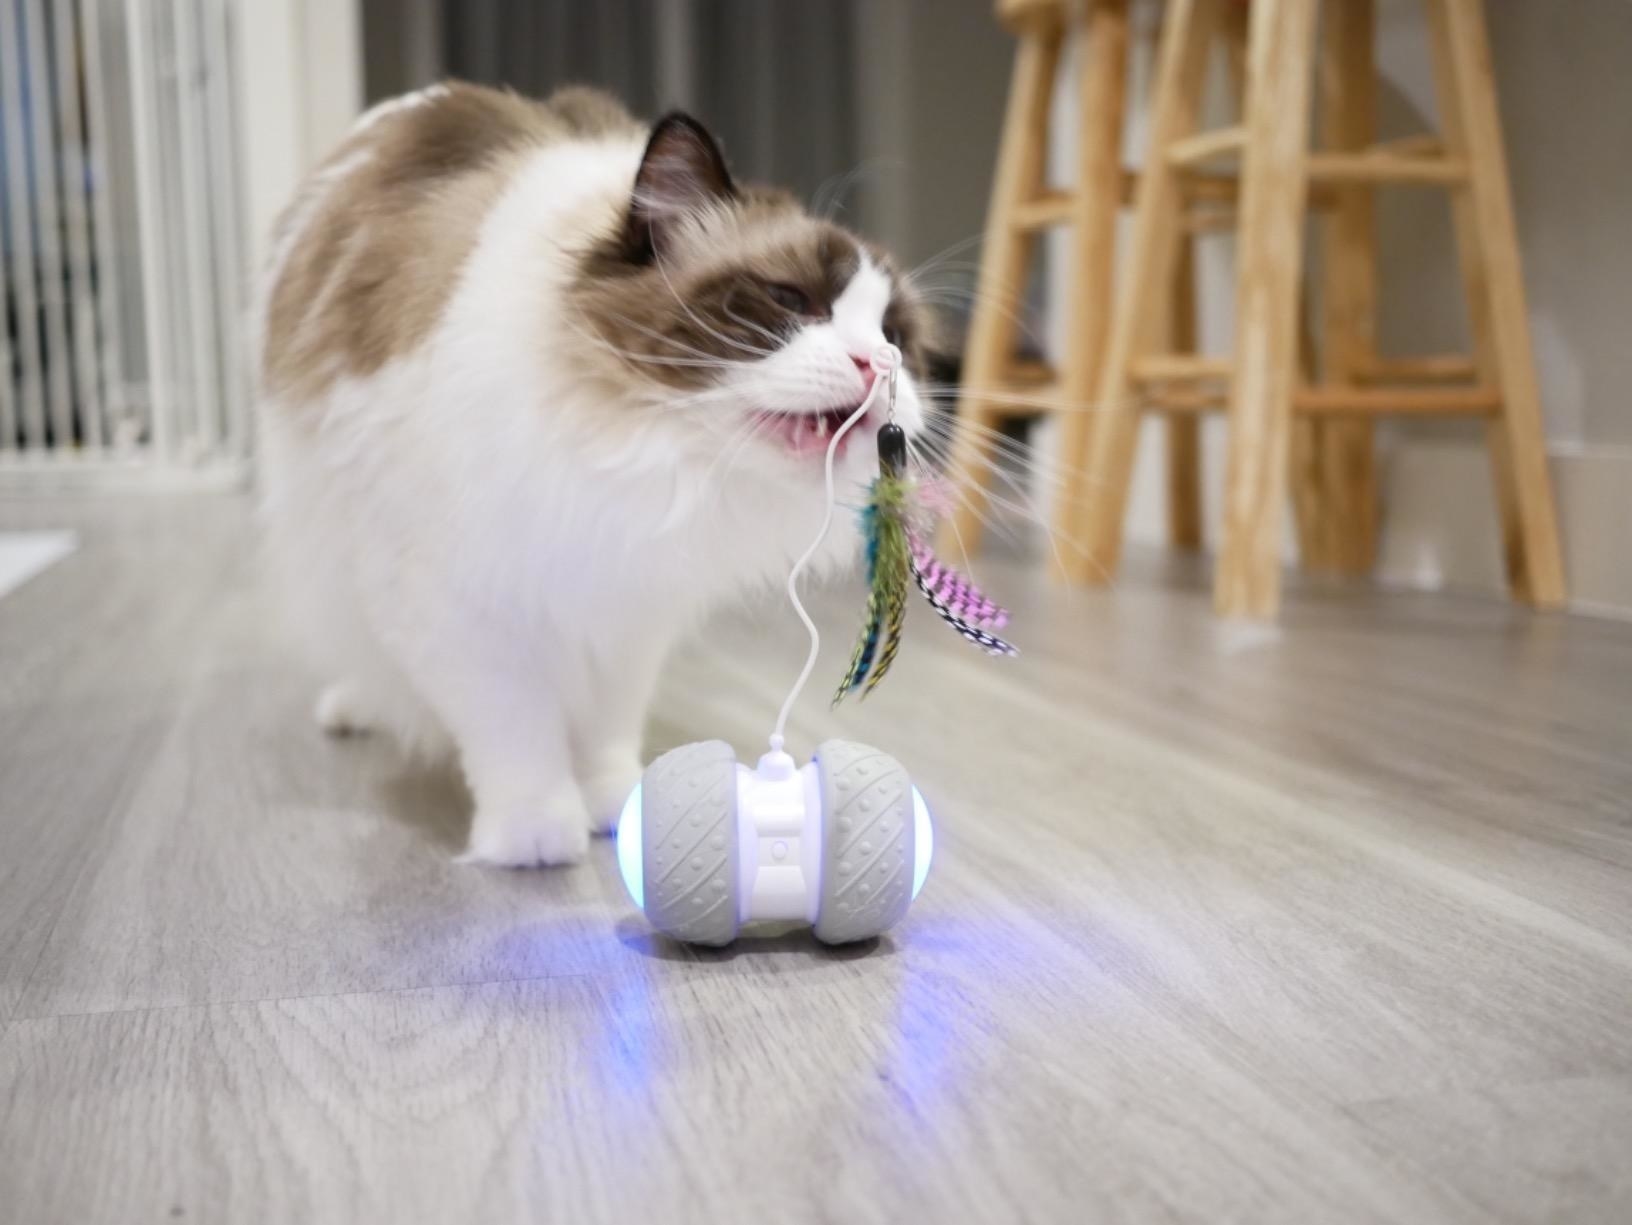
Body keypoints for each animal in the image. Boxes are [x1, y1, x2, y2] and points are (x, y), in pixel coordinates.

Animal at [261, 81, 940, 867]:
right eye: (790, 301)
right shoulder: (459, 606)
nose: (878, 363)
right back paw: (353, 707)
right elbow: (513, 732)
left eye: (894, 335)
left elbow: (606, 732)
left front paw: (619, 809)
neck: (634, 450)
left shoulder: (626, 607)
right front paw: (537, 834)